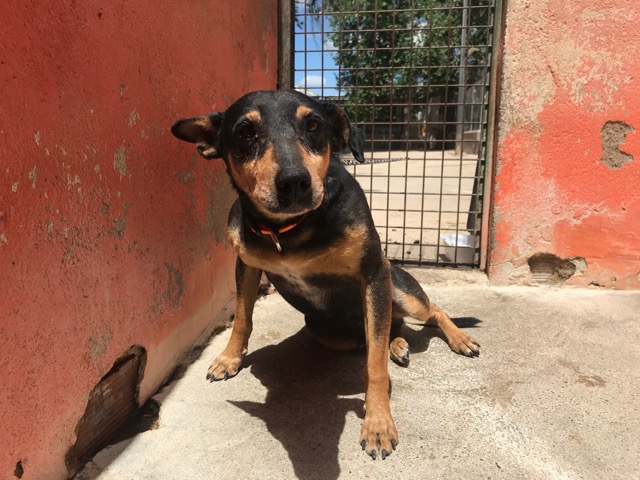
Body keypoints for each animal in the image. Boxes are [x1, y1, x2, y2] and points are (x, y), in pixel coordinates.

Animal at [171, 89, 480, 460]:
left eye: (314, 125)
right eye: (245, 132)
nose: (294, 182)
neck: (290, 229)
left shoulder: (374, 274)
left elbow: (375, 368)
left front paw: (378, 424)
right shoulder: (246, 265)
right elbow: (243, 319)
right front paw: (229, 358)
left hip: (400, 290)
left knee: (430, 312)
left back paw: (457, 339)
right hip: (326, 332)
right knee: (382, 332)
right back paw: (397, 344)